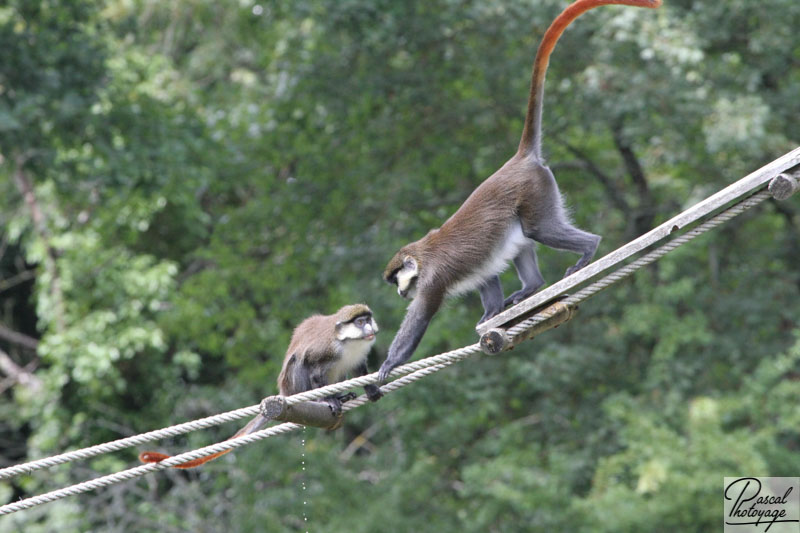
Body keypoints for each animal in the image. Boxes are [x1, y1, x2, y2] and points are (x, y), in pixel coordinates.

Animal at [139, 306, 382, 468]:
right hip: (293, 384)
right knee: (299, 362)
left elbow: (360, 368)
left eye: (368, 320)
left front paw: (370, 390)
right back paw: (322, 400)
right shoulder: (327, 349)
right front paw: (328, 400)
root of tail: (284, 393)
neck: (349, 342)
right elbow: (312, 367)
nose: (370, 327)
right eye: (360, 322)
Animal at [378, 1, 660, 382]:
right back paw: (532, 286)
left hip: (537, 191)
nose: (399, 292)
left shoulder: (432, 279)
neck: (421, 259)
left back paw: (588, 249)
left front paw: (389, 364)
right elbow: (487, 274)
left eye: (398, 280)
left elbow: (421, 315)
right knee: (521, 239)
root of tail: (519, 160)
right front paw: (491, 313)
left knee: (537, 229)